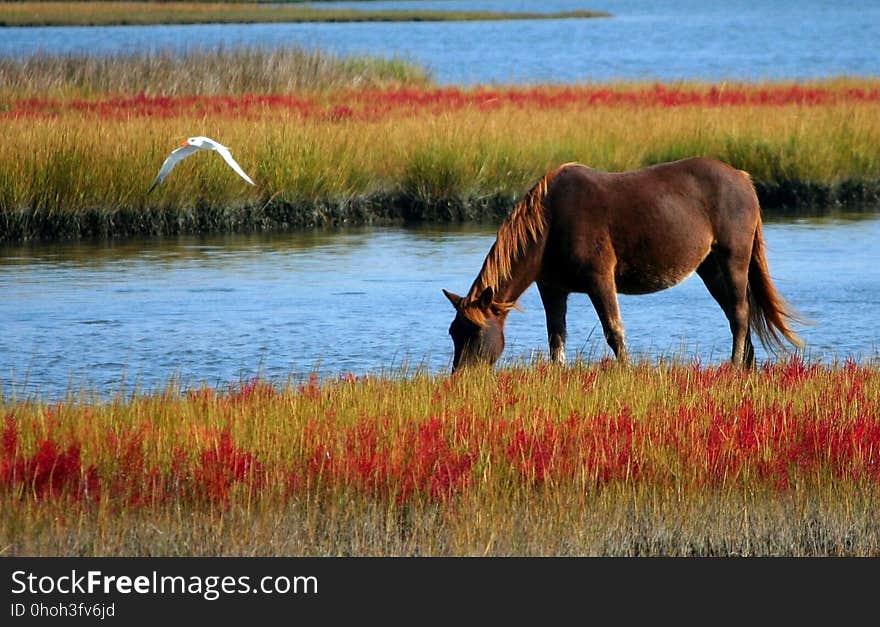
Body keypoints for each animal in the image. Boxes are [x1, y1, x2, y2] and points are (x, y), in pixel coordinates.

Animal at [446, 158, 804, 372]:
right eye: (453, 332)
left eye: (475, 332)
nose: (461, 378)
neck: (550, 223)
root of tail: (743, 178)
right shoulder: (552, 288)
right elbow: (556, 337)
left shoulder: (600, 279)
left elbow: (614, 331)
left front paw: (626, 372)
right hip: (710, 268)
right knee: (735, 314)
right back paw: (746, 367)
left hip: (733, 259)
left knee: (741, 314)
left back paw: (733, 366)